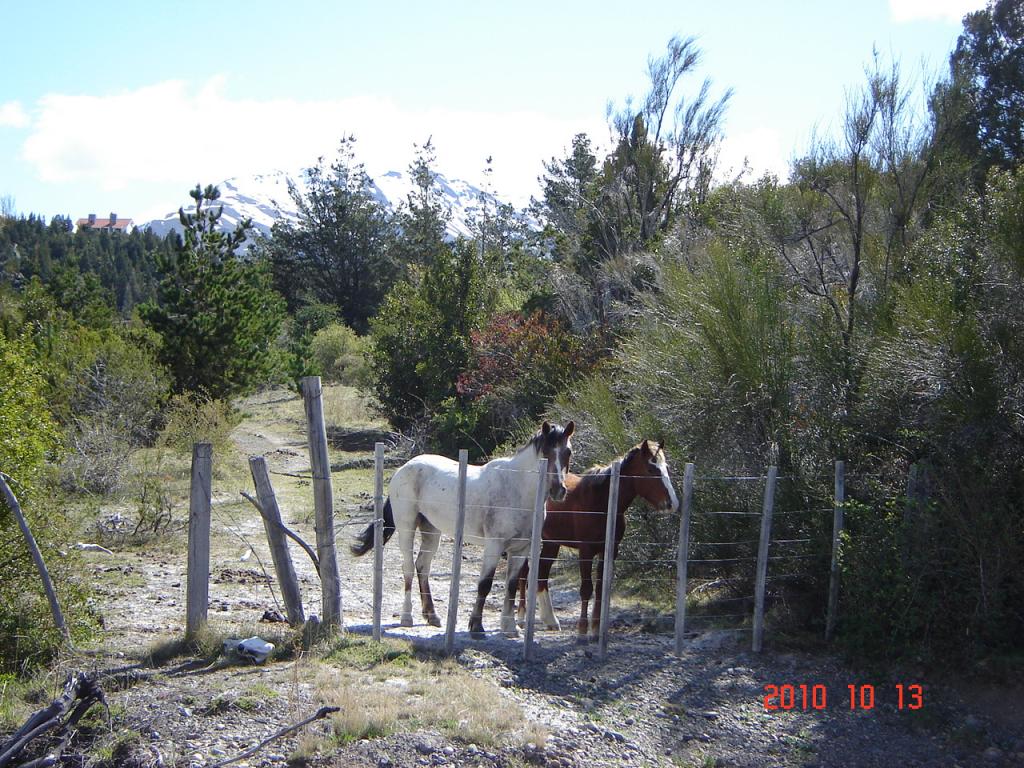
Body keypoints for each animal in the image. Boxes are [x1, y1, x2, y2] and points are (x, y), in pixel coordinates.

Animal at [354, 421, 577, 638]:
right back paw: (406, 617)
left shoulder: (520, 550)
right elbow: (485, 584)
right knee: (408, 567)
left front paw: (510, 627)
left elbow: (511, 586)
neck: (517, 489)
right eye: (546, 452)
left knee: (422, 566)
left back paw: (432, 616)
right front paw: (476, 626)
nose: (559, 490)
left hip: (431, 531)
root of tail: (404, 468)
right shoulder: (494, 546)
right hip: (407, 528)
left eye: (568, 452)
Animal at [516, 442, 675, 638]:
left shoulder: (609, 551)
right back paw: (521, 618)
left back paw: (550, 620)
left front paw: (596, 629)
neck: (602, 502)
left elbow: (600, 588)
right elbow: (586, 589)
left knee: (541, 574)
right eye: (651, 469)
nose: (672, 503)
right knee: (524, 574)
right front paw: (583, 630)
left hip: (551, 543)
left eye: (666, 467)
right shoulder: (586, 551)